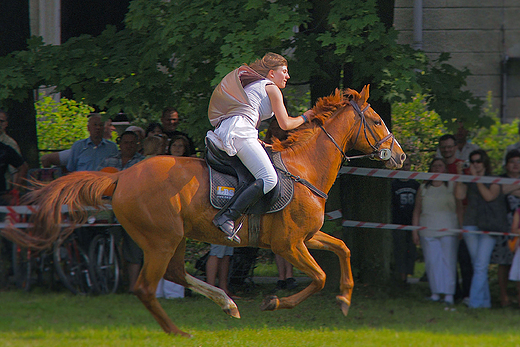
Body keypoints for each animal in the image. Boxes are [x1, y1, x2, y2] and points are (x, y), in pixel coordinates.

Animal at [1, 85, 406, 338]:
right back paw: (179, 331)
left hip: (174, 238)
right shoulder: (289, 245)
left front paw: (344, 300)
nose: (400, 156)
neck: (305, 168)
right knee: (146, 287)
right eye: (377, 121)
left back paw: (226, 304)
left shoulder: (307, 237)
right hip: (161, 240)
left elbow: (343, 249)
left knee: (176, 274)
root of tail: (121, 175)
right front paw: (275, 302)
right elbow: (320, 277)